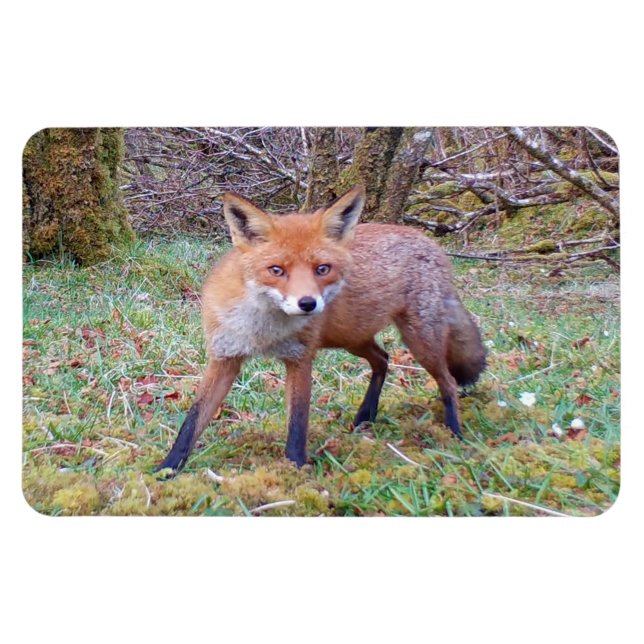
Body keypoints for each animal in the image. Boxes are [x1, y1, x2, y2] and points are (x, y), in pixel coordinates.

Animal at [156, 185, 486, 472]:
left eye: (322, 269)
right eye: (277, 270)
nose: (308, 304)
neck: (263, 330)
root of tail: (430, 243)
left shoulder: (300, 358)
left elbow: (298, 422)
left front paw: (295, 470)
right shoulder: (224, 357)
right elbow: (192, 421)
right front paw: (167, 470)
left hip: (419, 340)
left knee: (447, 381)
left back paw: (454, 432)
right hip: (352, 338)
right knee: (383, 359)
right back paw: (365, 417)